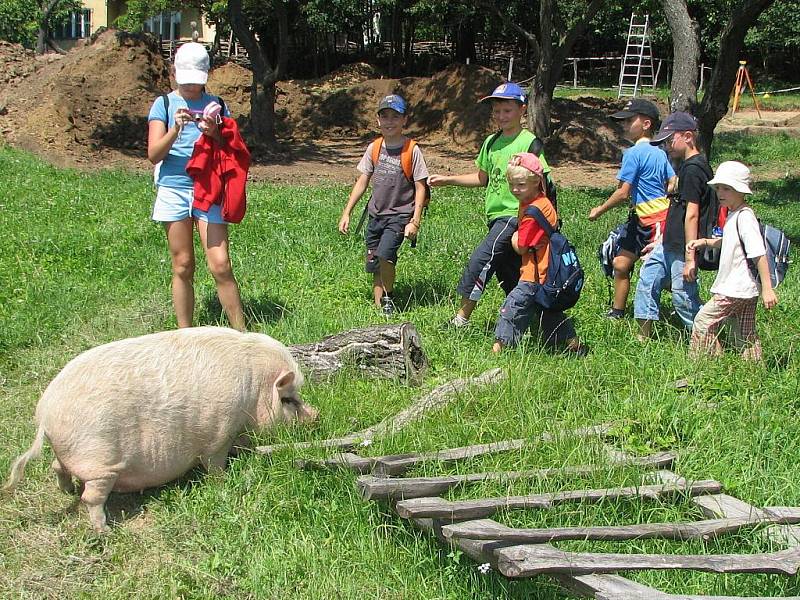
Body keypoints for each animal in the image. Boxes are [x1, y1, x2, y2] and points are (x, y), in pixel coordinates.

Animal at [3, 326, 316, 532]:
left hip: (70, 454)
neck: (253, 391)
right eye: (288, 399)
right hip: (99, 461)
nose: (316, 416)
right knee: (90, 496)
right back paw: (105, 531)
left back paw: (67, 492)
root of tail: (45, 415)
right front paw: (223, 481)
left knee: (57, 467)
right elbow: (215, 464)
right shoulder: (218, 433)